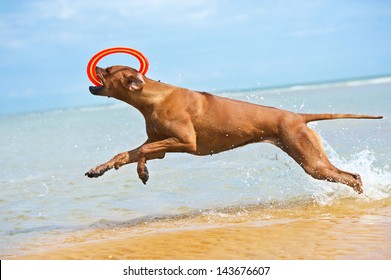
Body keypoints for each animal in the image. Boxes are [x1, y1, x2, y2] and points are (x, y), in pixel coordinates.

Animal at [86, 66, 382, 194]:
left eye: (107, 70)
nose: (95, 65)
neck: (153, 98)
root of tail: (297, 117)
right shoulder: (162, 144)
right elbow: (130, 152)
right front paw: (100, 168)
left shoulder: (185, 142)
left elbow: (146, 150)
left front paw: (142, 171)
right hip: (310, 157)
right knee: (349, 175)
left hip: (311, 161)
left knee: (351, 176)